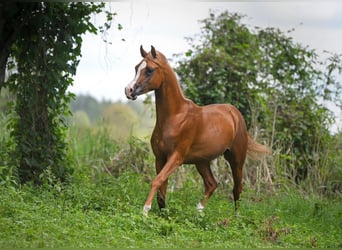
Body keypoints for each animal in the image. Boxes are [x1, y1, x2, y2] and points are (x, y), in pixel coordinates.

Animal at [124, 44, 272, 215]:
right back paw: (199, 212)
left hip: (236, 159)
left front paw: (145, 211)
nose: (128, 90)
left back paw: (235, 217)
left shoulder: (176, 157)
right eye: (136, 67)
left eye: (149, 69)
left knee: (237, 189)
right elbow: (162, 189)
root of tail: (235, 113)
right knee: (212, 184)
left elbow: (157, 181)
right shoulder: (160, 158)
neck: (175, 117)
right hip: (202, 161)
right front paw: (162, 214)